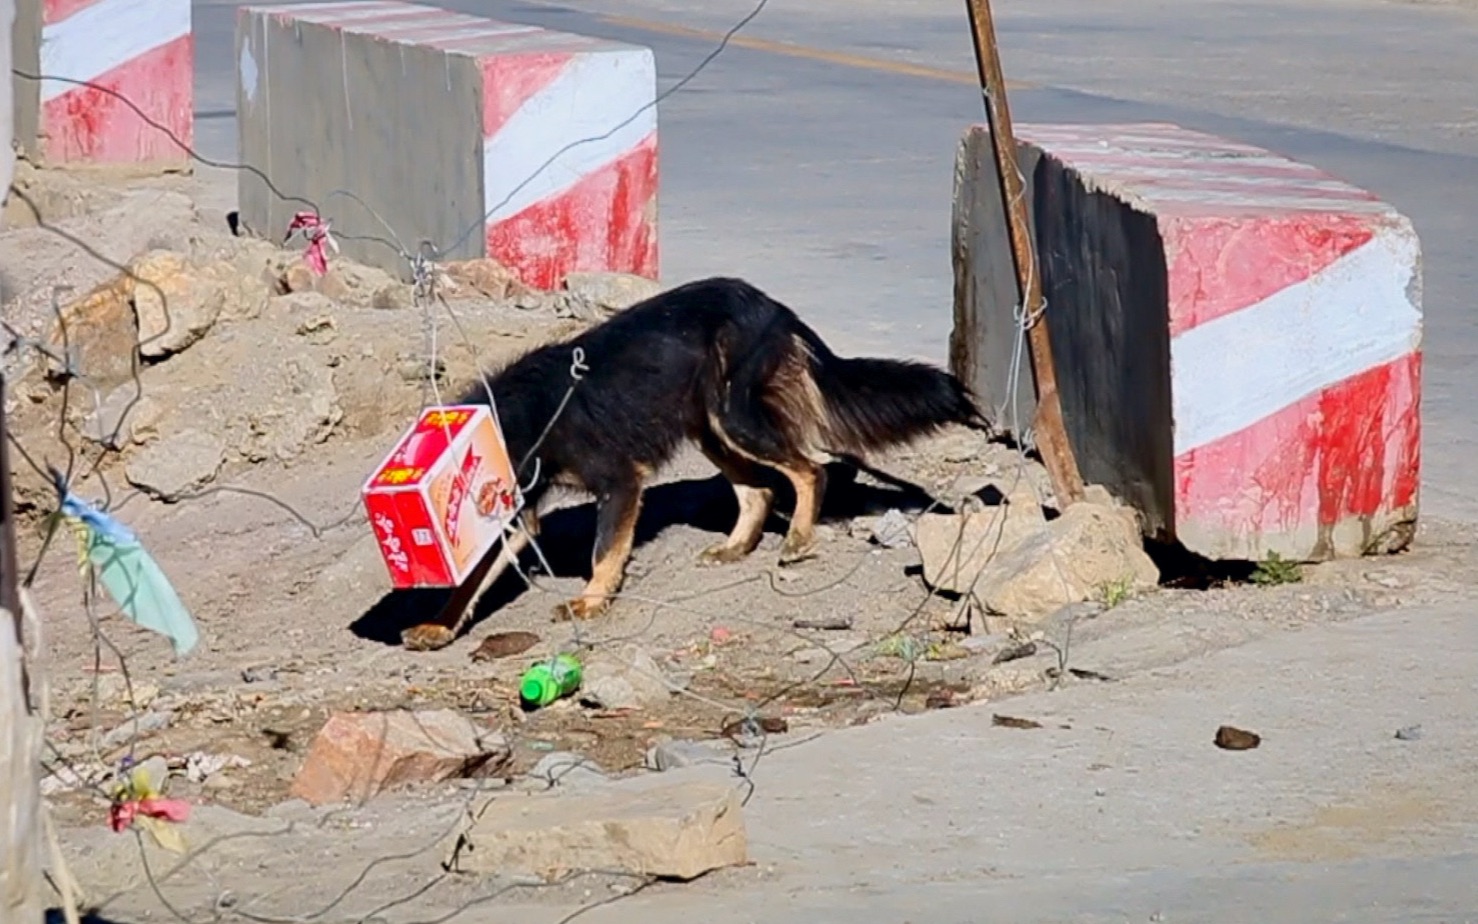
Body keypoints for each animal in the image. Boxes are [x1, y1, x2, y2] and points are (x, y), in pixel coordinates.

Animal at [399, 277, 987, 644]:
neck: (528, 415)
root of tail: (773, 306)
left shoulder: (620, 481)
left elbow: (602, 551)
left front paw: (591, 602)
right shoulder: (521, 511)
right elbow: (473, 579)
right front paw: (441, 625)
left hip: (732, 416)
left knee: (808, 469)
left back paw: (798, 539)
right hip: (709, 427)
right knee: (759, 489)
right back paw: (736, 547)